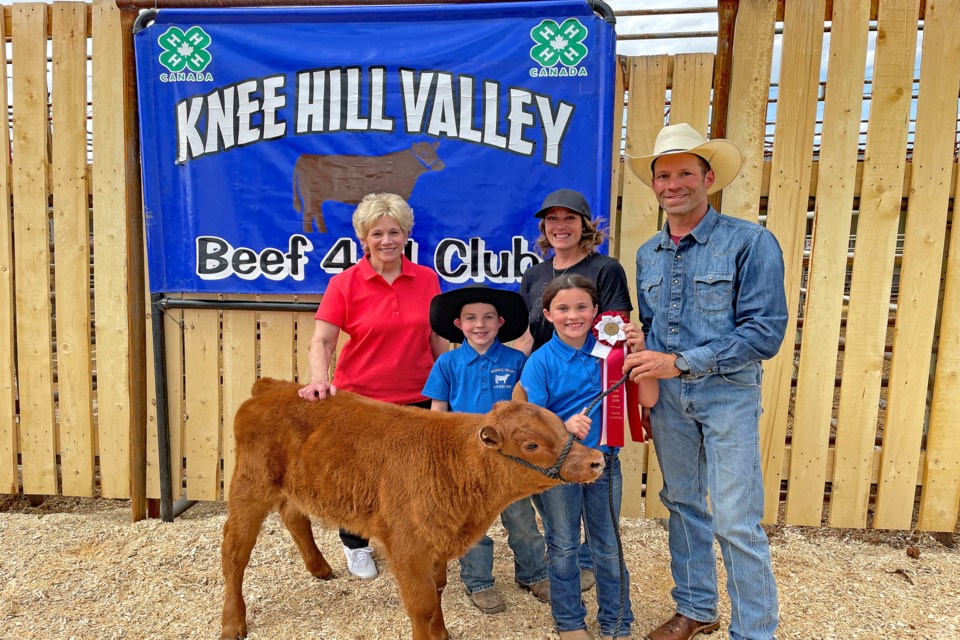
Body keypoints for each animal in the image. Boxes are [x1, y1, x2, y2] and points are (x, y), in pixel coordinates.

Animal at [221, 378, 604, 636]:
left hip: (293, 488)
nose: (596, 460)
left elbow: (437, 592)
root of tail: (273, 387)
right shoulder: (408, 547)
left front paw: (443, 633)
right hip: (249, 488)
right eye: (531, 444)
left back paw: (320, 568)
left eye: (558, 422)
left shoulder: (437, 545)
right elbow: (421, 605)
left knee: (293, 516)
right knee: (234, 553)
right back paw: (233, 623)